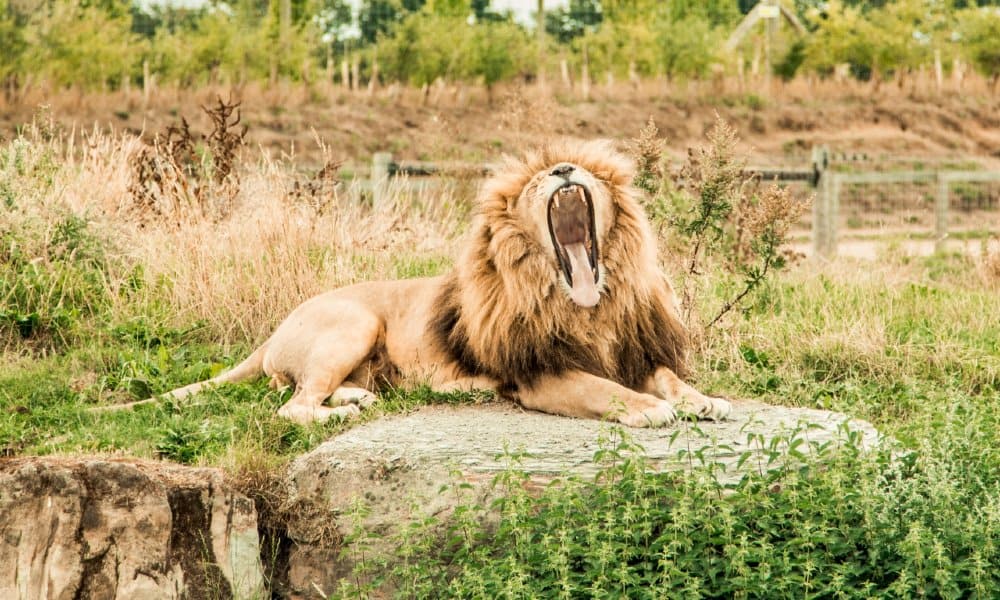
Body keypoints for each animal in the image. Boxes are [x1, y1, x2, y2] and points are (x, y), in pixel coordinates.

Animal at [160, 141, 732, 426]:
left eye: (580, 173)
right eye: (536, 182)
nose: (565, 170)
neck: (587, 306)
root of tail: (274, 332)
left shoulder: (633, 351)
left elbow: (667, 376)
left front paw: (703, 400)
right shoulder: (540, 374)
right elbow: (604, 389)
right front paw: (650, 409)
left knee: (302, 391)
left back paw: (356, 401)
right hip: (353, 323)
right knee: (291, 407)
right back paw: (337, 416)